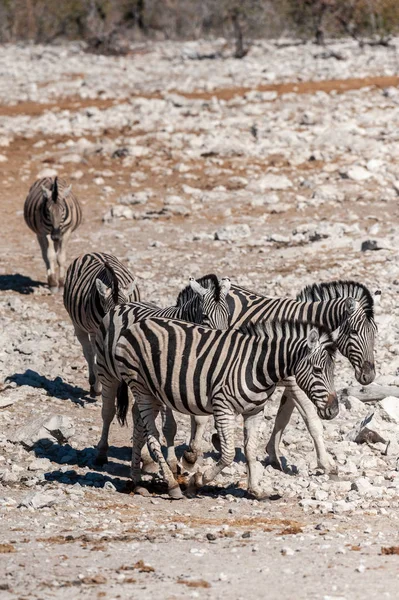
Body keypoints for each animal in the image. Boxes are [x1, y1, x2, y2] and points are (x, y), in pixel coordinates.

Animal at [64, 253, 141, 398]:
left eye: (127, 315)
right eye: (107, 315)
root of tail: (92, 252)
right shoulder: (96, 331)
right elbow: (97, 355)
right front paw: (100, 387)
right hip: (78, 324)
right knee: (89, 351)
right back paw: (93, 384)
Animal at [94, 274, 231, 466]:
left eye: (228, 316)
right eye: (205, 316)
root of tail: (119, 306)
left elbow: (199, 417)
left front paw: (192, 453)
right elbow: (170, 426)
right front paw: (173, 461)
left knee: (138, 413)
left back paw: (145, 458)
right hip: (106, 372)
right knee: (108, 412)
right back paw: (101, 454)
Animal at [110, 316, 340, 500]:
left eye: (333, 371)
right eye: (317, 370)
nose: (334, 411)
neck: (257, 366)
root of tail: (136, 325)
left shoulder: (254, 411)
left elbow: (250, 450)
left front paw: (255, 490)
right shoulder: (223, 407)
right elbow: (228, 454)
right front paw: (197, 481)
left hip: (153, 392)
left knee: (138, 425)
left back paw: (137, 482)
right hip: (139, 386)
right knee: (152, 436)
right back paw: (173, 486)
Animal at [177, 278, 378, 472]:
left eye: (375, 332)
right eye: (354, 332)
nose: (369, 376)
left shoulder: (295, 380)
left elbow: (283, 417)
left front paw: (273, 454)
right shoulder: (294, 381)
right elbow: (311, 420)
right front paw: (326, 463)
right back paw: (194, 451)